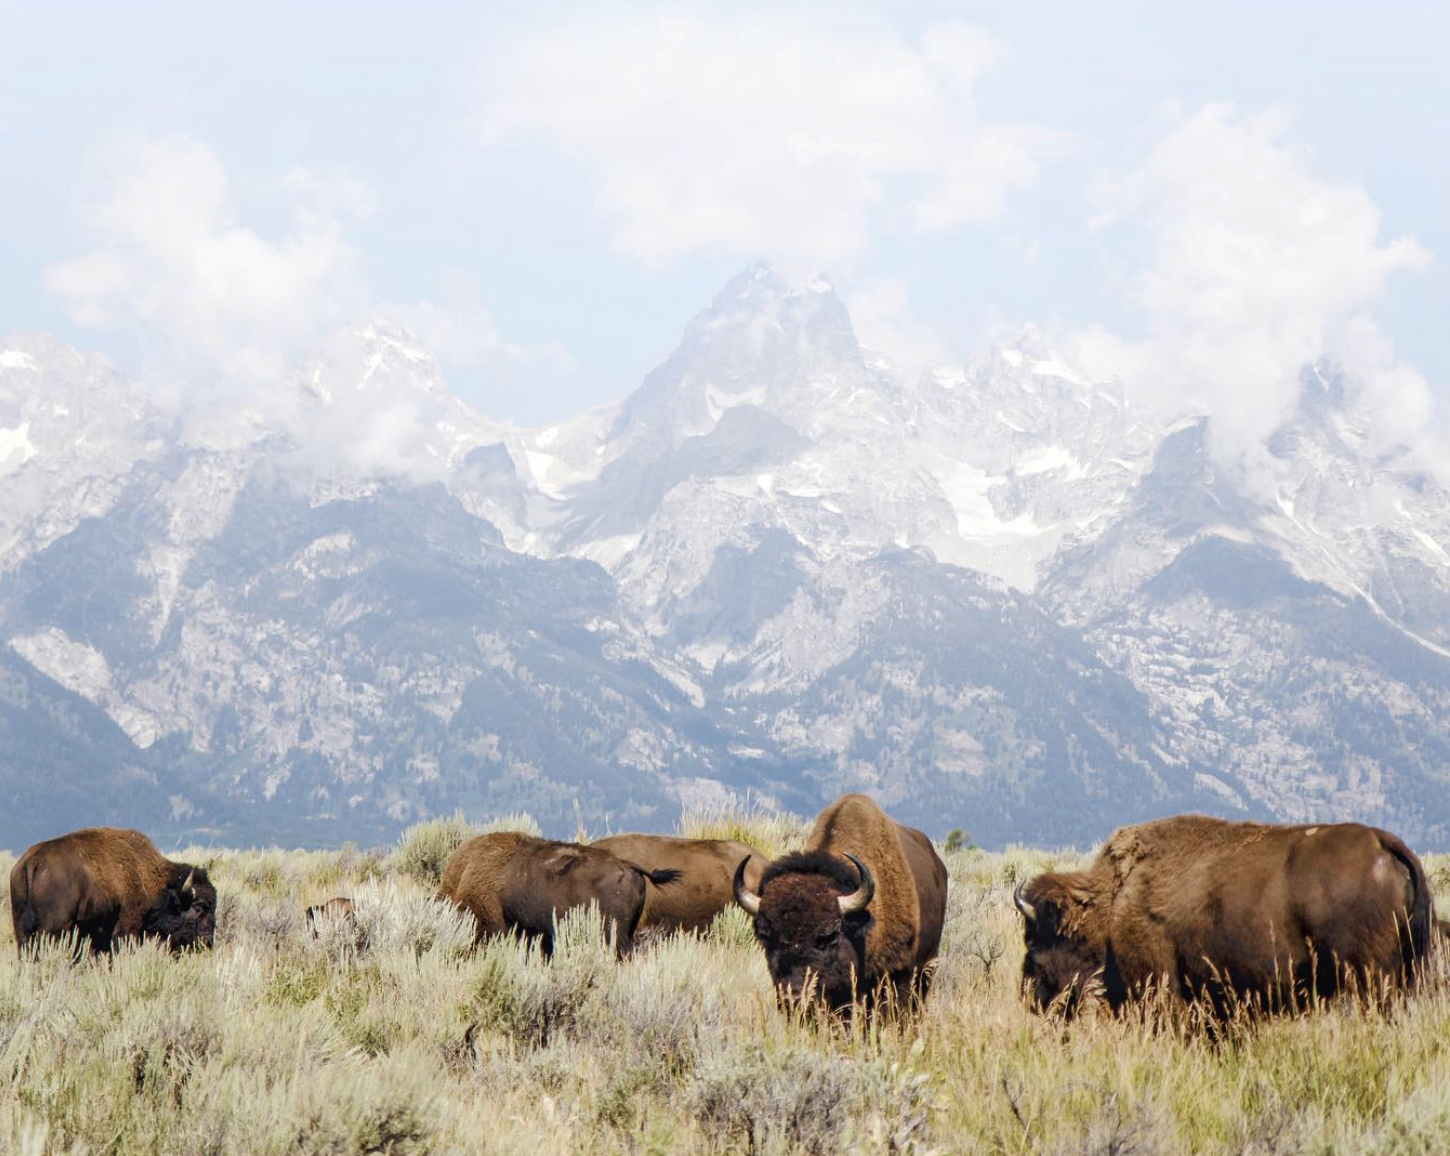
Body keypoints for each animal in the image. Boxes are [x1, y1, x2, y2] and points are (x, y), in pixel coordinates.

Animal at [9, 827, 217, 954]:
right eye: (198, 907)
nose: (208, 941)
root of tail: (31, 863)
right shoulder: (126, 929)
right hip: (54, 929)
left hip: (21, 928)